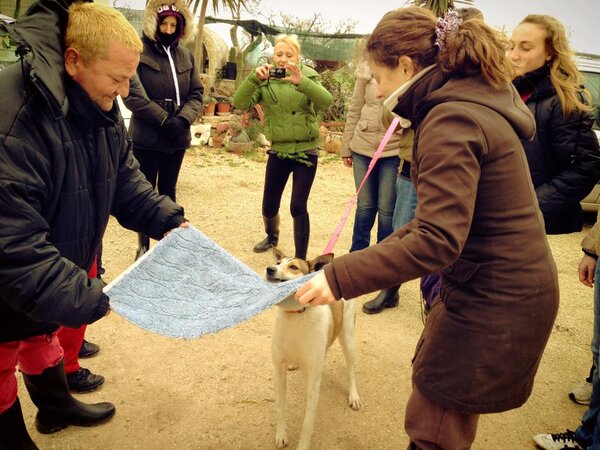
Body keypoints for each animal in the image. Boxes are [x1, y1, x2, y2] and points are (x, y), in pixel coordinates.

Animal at [266, 248, 360, 448]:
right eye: (278, 263)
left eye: (293, 267)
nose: (269, 269)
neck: (295, 315)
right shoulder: (279, 370)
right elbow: (280, 408)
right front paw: (281, 435)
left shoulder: (313, 381)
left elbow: (307, 423)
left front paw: (302, 446)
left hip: (348, 337)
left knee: (351, 370)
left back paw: (354, 396)